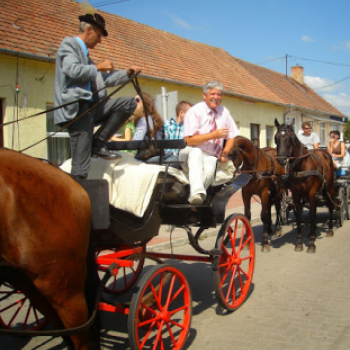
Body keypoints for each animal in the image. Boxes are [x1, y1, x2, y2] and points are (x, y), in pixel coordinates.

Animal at [274, 119, 336, 253]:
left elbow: (312, 214)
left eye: (290, 138)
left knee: (330, 205)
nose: (281, 160)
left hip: (329, 187)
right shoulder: (296, 194)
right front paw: (299, 243)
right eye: (276, 138)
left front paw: (311, 243)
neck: (301, 166)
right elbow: (299, 215)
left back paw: (330, 229)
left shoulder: (311, 192)